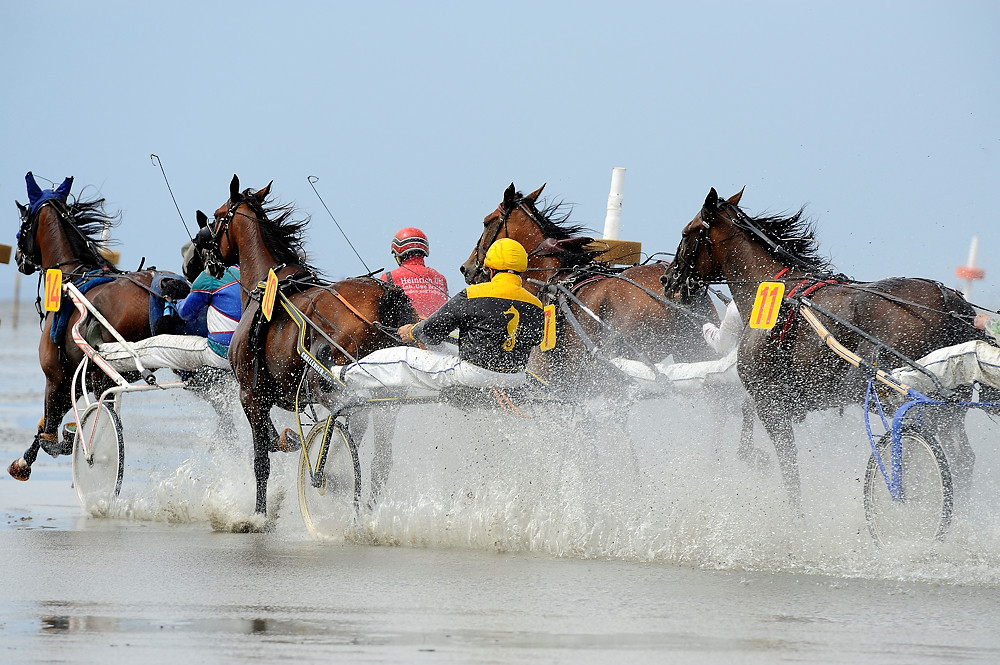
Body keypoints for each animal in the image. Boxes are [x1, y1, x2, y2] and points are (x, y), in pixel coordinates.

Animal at [8, 174, 190, 480]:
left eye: (23, 221)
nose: (19, 258)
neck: (73, 277)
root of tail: (161, 291)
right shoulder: (73, 377)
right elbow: (44, 426)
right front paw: (26, 459)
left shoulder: (56, 377)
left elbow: (49, 435)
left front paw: (63, 443)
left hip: (105, 375)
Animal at [197, 176, 416, 524]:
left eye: (217, 216)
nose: (204, 252)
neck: (267, 287)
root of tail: (383, 295)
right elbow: (273, 443)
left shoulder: (250, 395)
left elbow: (261, 459)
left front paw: (259, 513)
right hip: (389, 394)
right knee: (380, 456)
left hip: (328, 382)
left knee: (352, 418)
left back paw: (330, 476)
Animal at [660, 184, 980, 506]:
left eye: (686, 233)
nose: (667, 279)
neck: (773, 292)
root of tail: (950, 302)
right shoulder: (777, 396)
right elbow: (749, 417)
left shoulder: (769, 401)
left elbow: (789, 468)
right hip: (951, 404)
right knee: (963, 459)